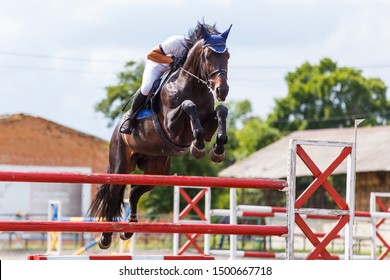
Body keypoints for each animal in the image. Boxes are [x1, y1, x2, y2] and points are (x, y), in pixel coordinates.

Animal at [87, 24, 232, 250]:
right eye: (208, 55)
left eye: (227, 56)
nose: (222, 90)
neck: (194, 85)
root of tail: (115, 132)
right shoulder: (172, 127)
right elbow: (188, 106)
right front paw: (198, 146)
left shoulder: (208, 121)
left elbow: (221, 111)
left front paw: (217, 150)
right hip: (121, 165)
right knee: (114, 193)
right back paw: (106, 237)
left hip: (157, 170)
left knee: (135, 191)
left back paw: (129, 229)